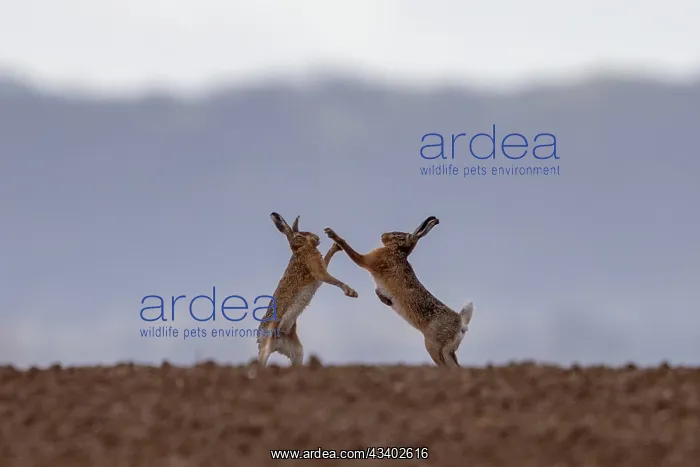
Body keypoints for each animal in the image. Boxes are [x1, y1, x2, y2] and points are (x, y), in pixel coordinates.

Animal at [257, 212, 358, 366]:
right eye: (299, 235)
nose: (316, 238)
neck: (300, 249)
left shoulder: (320, 268)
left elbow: (327, 261)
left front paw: (336, 246)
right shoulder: (318, 271)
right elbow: (332, 279)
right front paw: (351, 292)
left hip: (297, 351)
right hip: (267, 343)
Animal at [323, 216, 474, 368]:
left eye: (398, 235)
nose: (383, 235)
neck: (398, 251)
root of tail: (461, 323)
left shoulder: (370, 260)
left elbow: (352, 252)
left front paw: (332, 234)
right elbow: (377, 291)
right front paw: (387, 301)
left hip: (434, 345)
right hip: (447, 350)